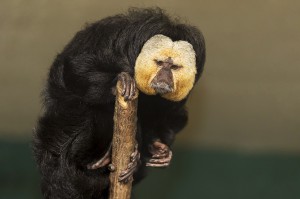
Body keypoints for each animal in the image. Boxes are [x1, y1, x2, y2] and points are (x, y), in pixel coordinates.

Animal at [33, 7, 206, 199]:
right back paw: (100, 159)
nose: (164, 78)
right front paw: (119, 81)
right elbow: (77, 68)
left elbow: (172, 117)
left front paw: (159, 148)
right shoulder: (115, 45)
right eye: (160, 63)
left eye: (174, 67)